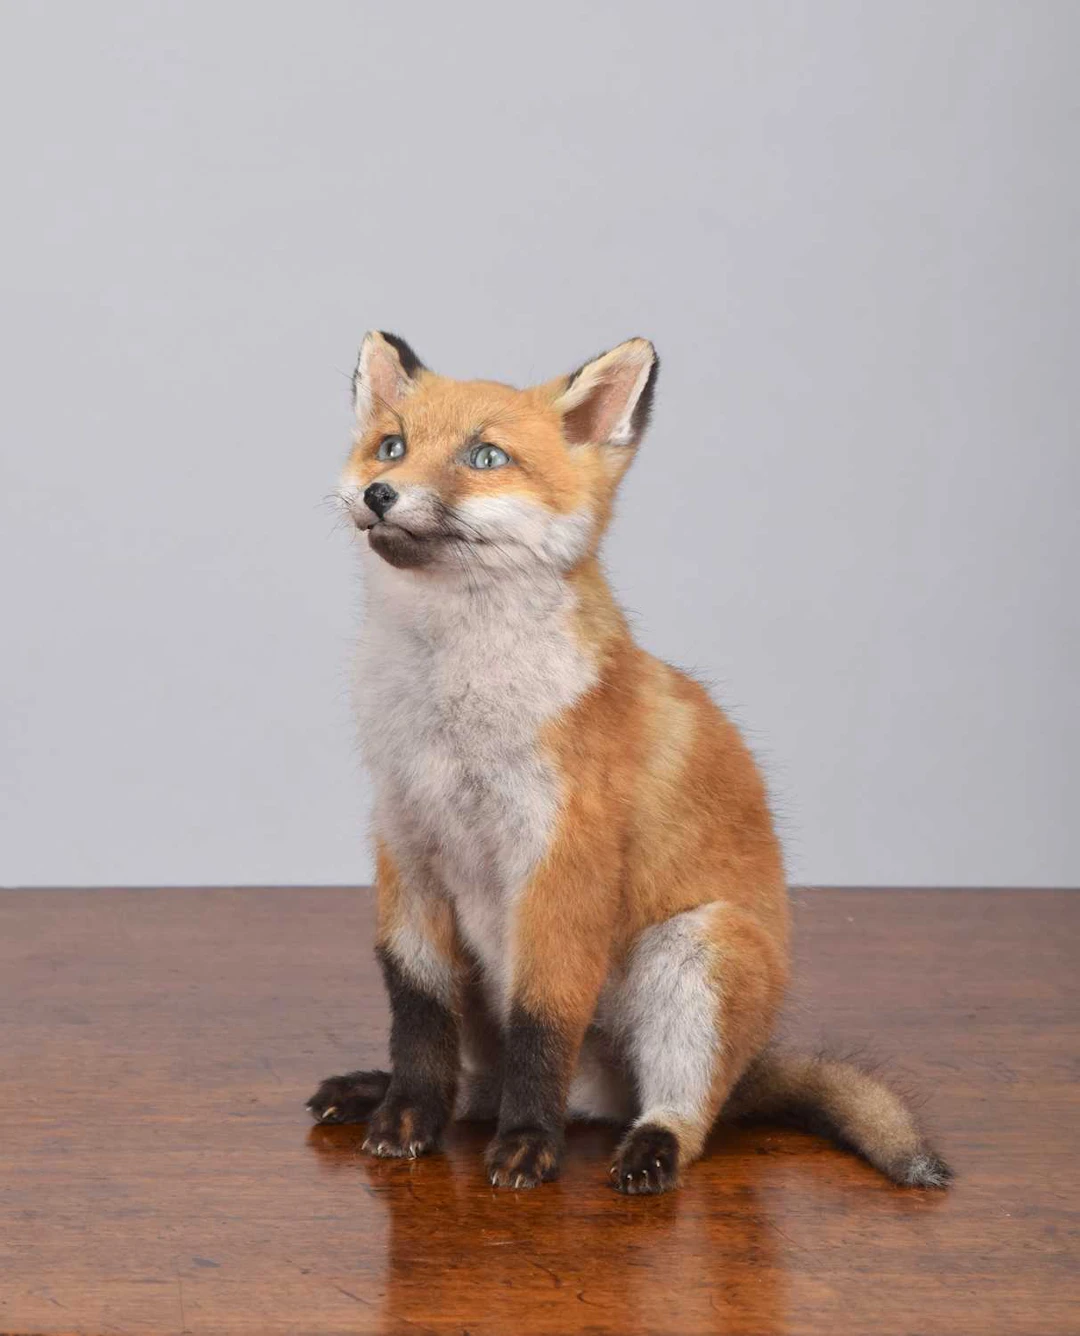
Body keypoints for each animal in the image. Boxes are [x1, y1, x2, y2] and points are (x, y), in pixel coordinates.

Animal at [307, 330, 951, 1194]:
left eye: (484, 456)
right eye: (391, 446)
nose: (380, 493)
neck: (454, 721)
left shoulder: (560, 866)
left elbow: (542, 1020)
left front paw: (529, 1144)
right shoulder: (407, 851)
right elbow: (417, 1018)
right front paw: (406, 1114)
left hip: (691, 957)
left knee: (689, 1116)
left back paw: (649, 1146)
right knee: (477, 1084)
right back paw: (386, 1094)